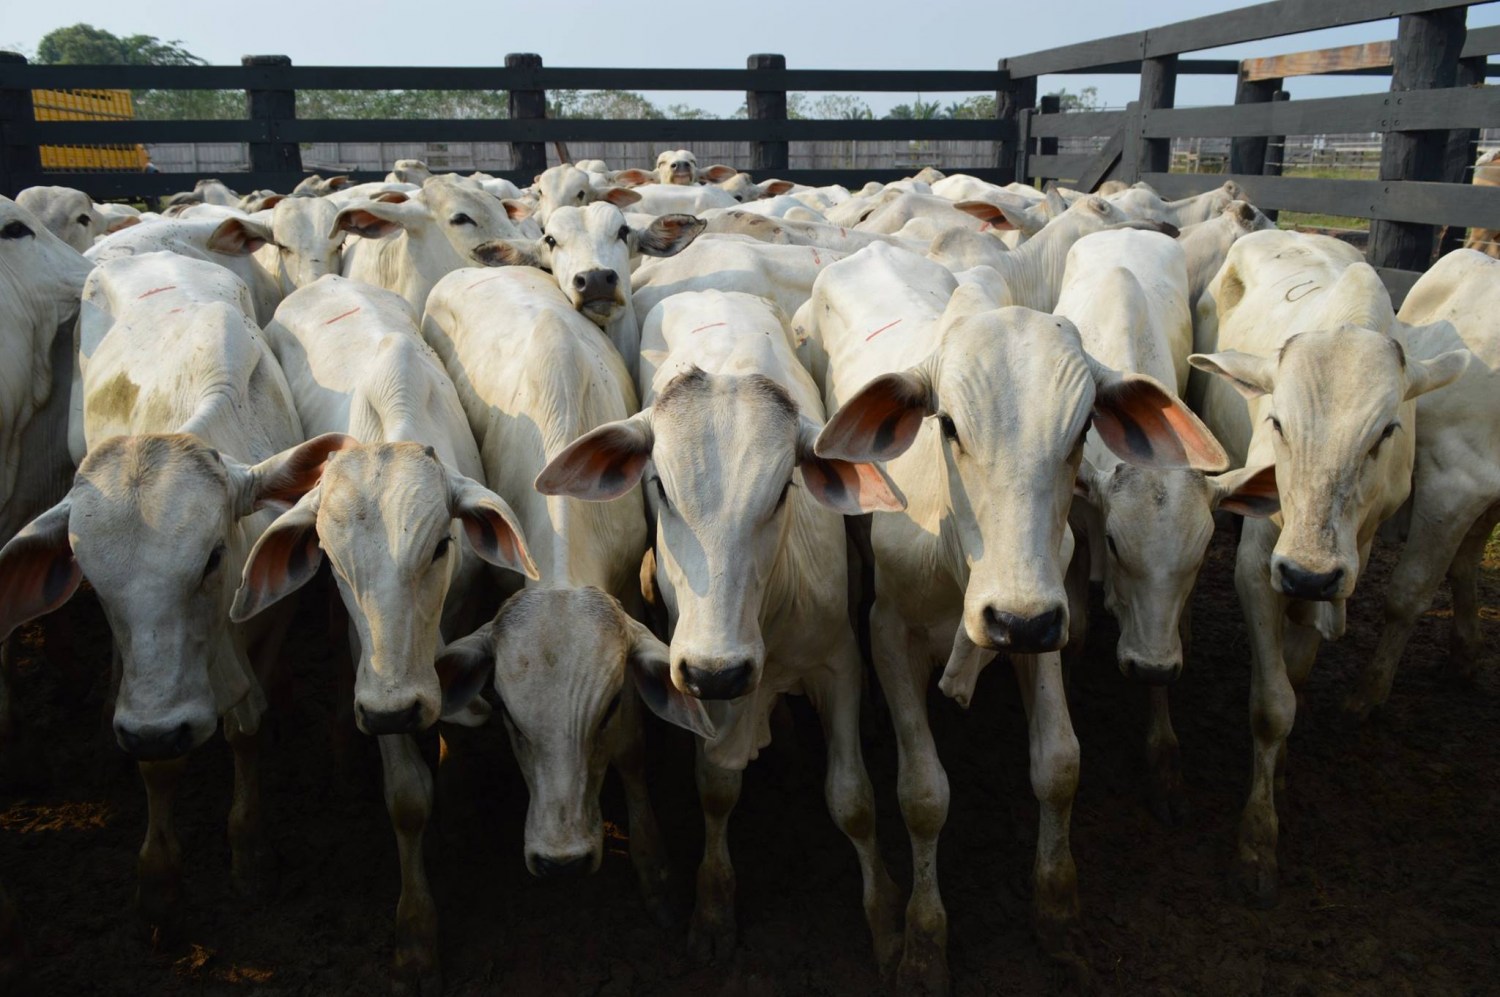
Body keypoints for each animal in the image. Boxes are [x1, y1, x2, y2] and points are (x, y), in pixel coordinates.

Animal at [0, 248, 348, 923]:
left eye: (213, 558)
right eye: (92, 578)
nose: (155, 730)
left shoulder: (271, 617)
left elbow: (246, 725)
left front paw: (249, 850)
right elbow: (158, 767)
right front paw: (159, 878)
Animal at [543, 289, 900, 971]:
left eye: (784, 489)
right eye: (660, 486)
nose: (721, 668)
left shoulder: (837, 661)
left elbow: (854, 801)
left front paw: (892, 929)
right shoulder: (695, 681)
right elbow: (715, 787)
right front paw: (712, 910)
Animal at [810, 275, 1218, 989]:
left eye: (1084, 426)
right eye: (947, 424)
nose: (1010, 616)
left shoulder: (1044, 623)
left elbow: (1058, 763)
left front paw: (1057, 917)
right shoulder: (889, 632)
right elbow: (923, 795)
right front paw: (923, 943)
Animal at [1182, 230, 1464, 899]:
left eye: (1386, 431)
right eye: (1277, 421)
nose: (1307, 573)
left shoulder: (1345, 564)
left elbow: (1299, 675)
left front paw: (1281, 774)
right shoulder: (1260, 565)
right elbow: (1272, 705)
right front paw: (1257, 840)